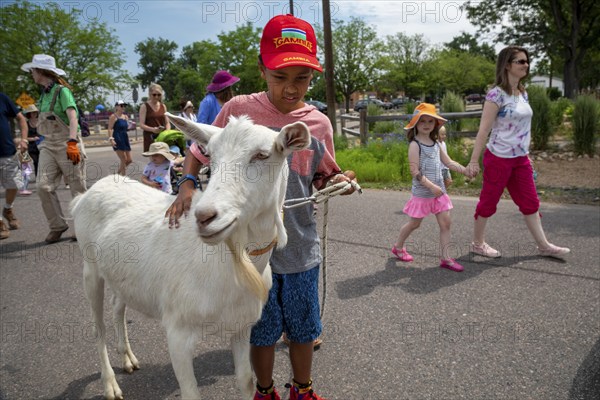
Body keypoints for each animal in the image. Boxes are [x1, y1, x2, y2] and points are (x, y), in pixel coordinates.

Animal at [71, 114, 310, 398]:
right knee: (98, 327)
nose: (205, 217)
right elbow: (190, 392)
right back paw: (110, 384)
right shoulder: (178, 330)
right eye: (211, 156)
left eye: (262, 155)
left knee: (118, 304)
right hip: (89, 269)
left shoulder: (242, 325)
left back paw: (127, 358)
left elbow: (245, 380)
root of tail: (86, 194)